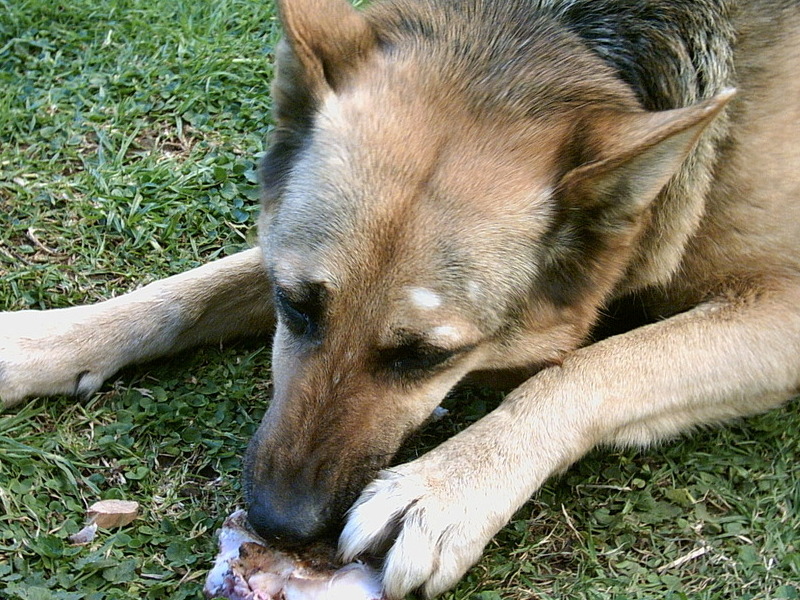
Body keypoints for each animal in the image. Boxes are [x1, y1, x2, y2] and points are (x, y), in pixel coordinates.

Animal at [1, 0, 800, 596]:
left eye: (425, 358)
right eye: (295, 306)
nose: (278, 525)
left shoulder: (781, 308)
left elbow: (589, 367)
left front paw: (444, 489)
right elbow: (192, 289)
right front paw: (47, 341)